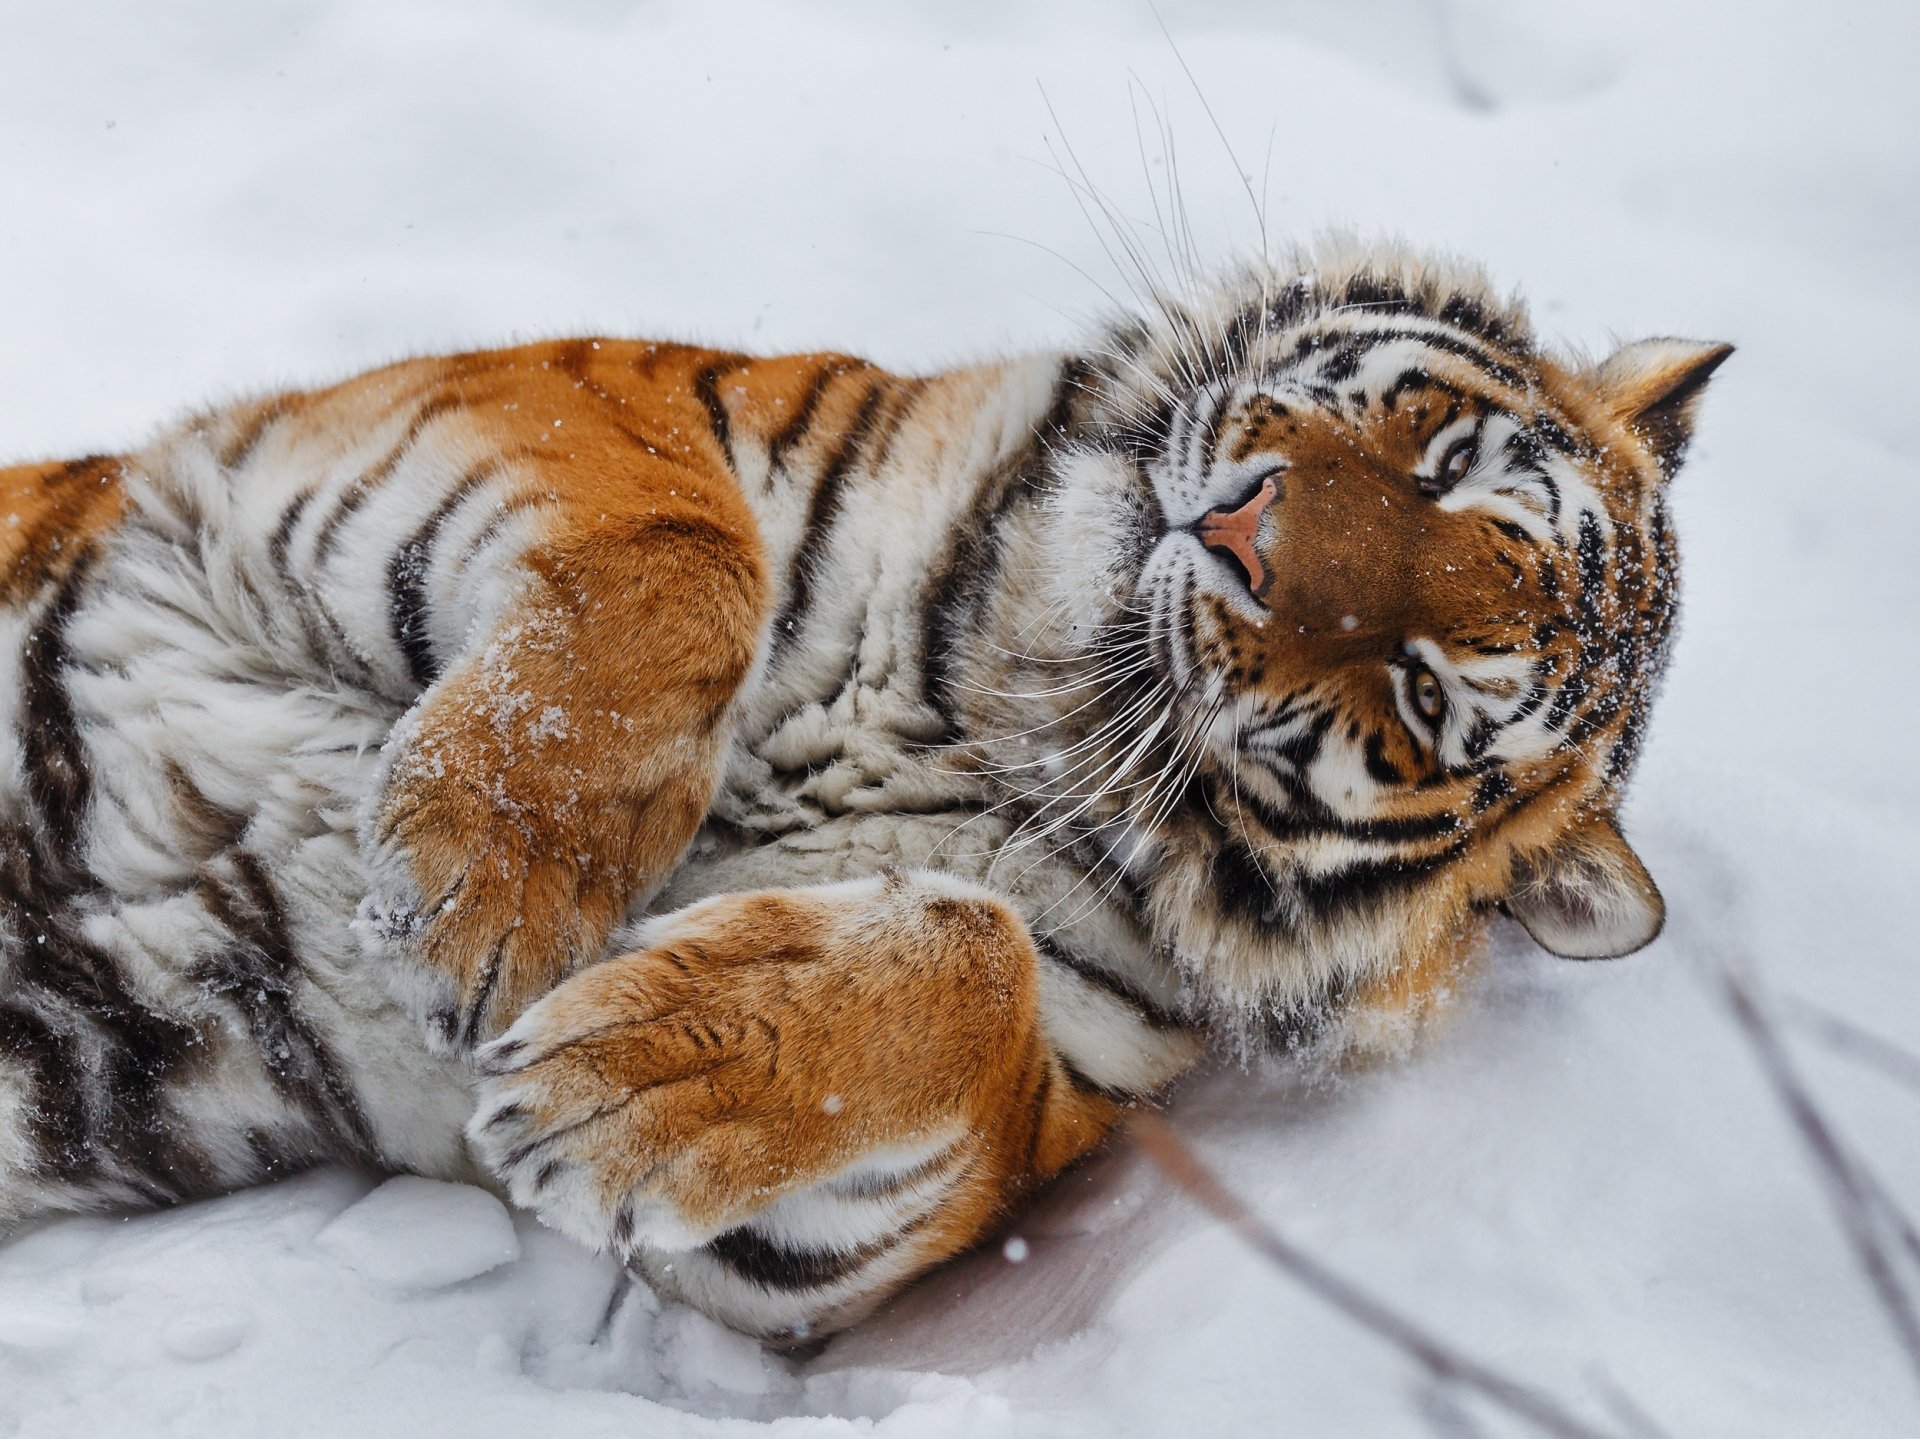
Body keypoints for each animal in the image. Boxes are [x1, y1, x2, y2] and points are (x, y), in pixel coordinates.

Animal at [0, 237, 1728, 1341]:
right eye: (1441, 459)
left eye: (1426, 693)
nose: (1242, 539)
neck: (1003, 697)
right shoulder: (518, 412)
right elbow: (689, 556)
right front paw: (477, 894)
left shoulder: (898, 1203)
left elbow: (982, 966)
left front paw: (623, 1072)